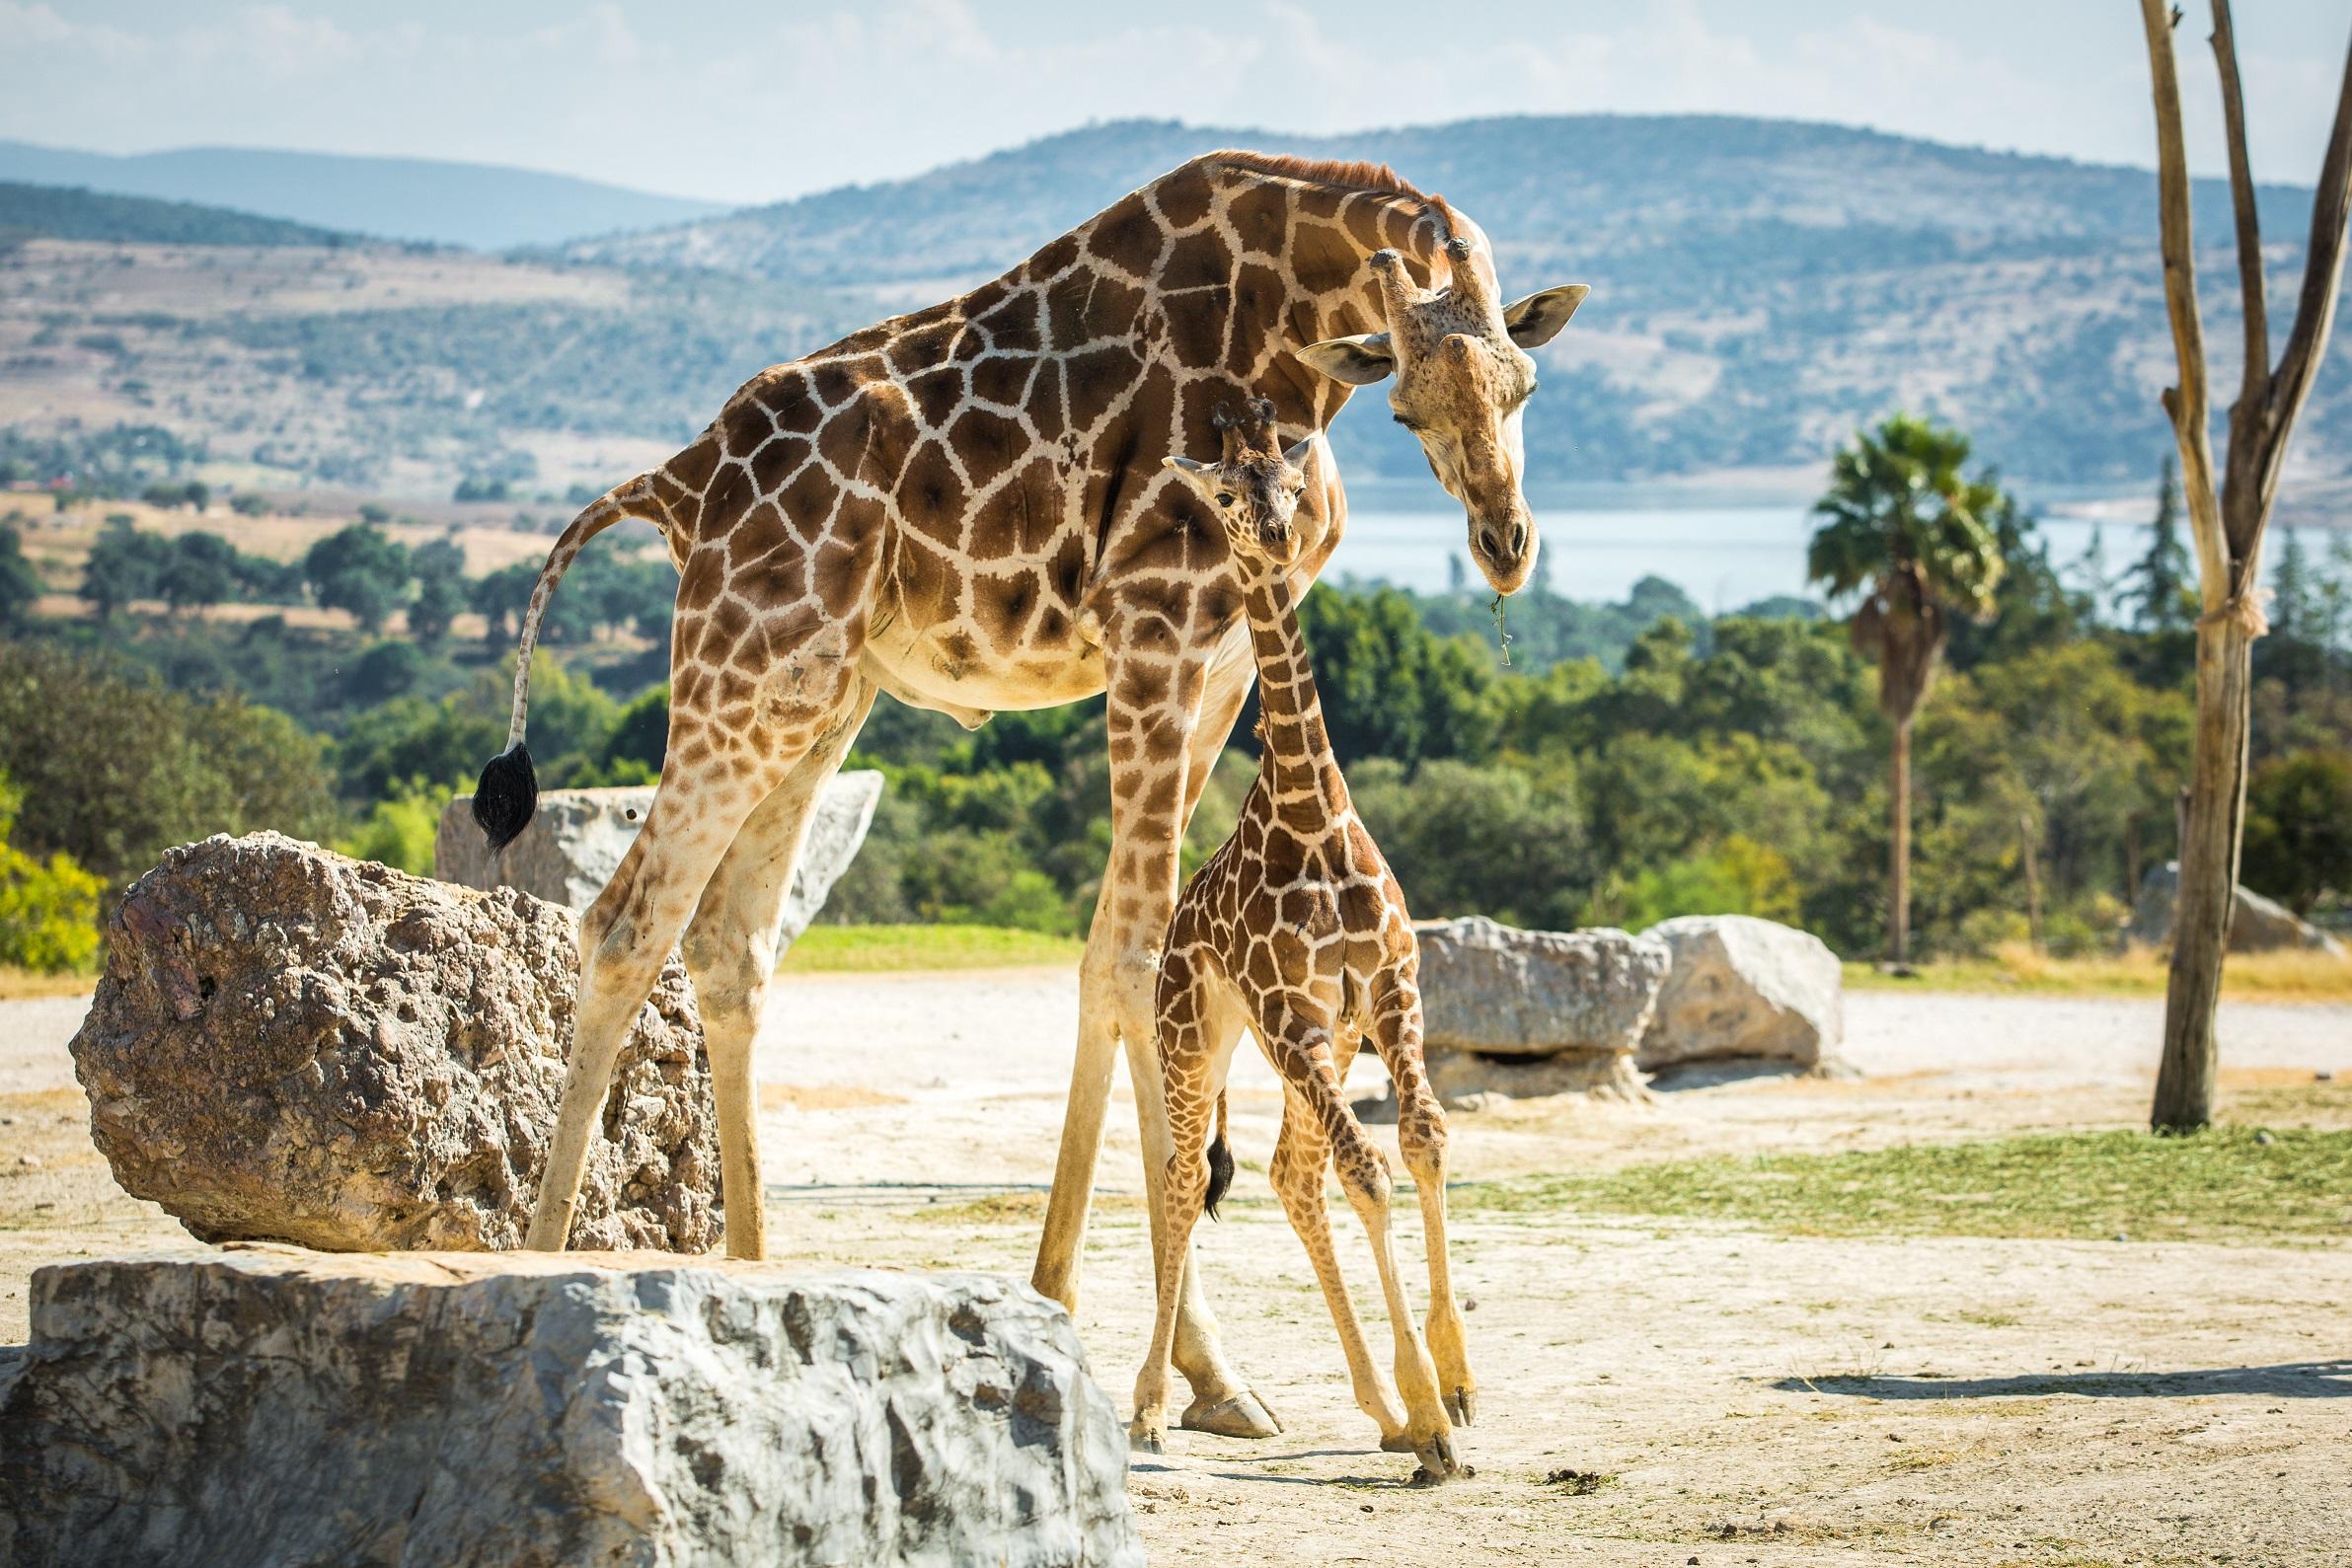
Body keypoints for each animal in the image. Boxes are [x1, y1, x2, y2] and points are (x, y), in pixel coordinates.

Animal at [1133, 399, 1467, 1476]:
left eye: (1286, 479)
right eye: (1229, 494)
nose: (1278, 534)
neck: (1312, 816)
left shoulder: (1390, 989)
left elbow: (1421, 1139)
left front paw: (1450, 1385)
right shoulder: (1290, 1013)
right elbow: (1370, 1168)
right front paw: (1434, 1415)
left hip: (1318, 1039)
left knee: (1289, 1173)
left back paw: (1382, 1408)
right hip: (1199, 1032)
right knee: (1184, 1174)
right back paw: (1151, 1406)